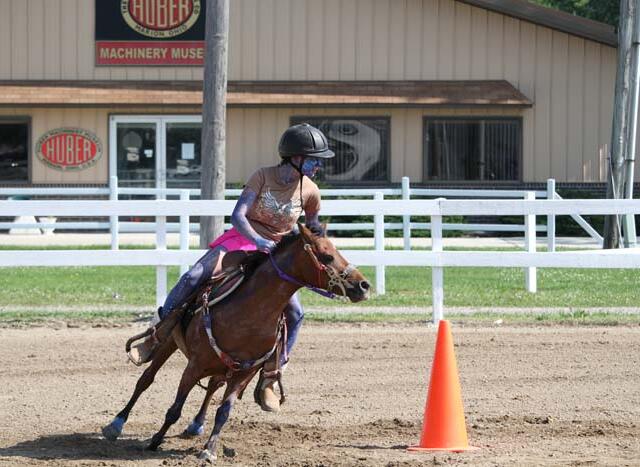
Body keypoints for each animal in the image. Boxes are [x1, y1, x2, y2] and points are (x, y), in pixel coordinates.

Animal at [102, 223, 370, 463]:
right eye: (327, 255)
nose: (363, 285)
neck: (250, 314)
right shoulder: (194, 366)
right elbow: (174, 409)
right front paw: (155, 441)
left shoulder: (245, 372)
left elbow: (223, 412)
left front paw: (209, 450)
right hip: (170, 342)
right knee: (146, 378)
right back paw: (116, 423)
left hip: (226, 368)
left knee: (212, 387)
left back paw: (196, 424)